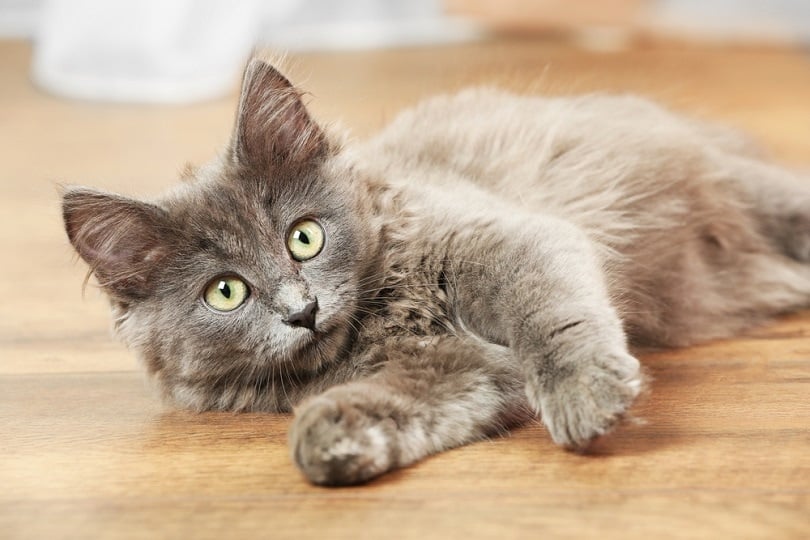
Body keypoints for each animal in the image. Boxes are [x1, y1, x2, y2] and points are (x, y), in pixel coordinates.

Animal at [61, 59, 808, 486]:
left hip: (745, 191)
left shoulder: (505, 241)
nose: (302, 310)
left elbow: (551, 319)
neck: (380, 315)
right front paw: (329, 440)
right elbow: (408, 401)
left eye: (304, 237)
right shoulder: (454, 368)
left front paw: (584, 397)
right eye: (226, 292)